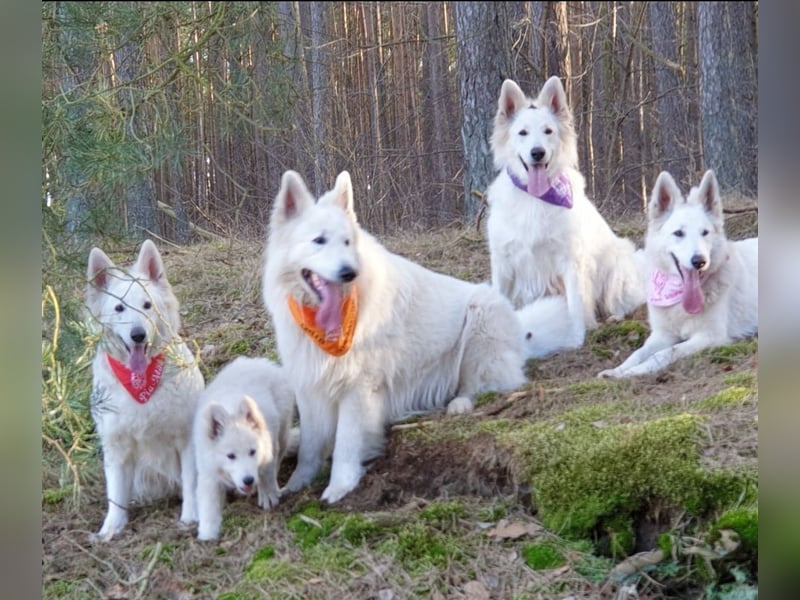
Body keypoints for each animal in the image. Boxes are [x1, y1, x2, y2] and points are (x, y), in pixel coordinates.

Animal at [83, 241, 203, 540]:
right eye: (119, 308)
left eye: (147, 305)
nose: (138, 335)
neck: (141, 380)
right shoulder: (116, 445)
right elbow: (115, 492)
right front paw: (111, 529)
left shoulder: (186, 438)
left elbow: (192, 482)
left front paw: (191, 517)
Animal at [596, 169, 760, 378]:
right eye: (679, 233)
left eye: (705, 232)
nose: (699, 261)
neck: (678, 298)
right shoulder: (662, 335)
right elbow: (638, 352)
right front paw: (617, 370)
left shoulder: (710, 337)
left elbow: (664, 353)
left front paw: (634, 372)